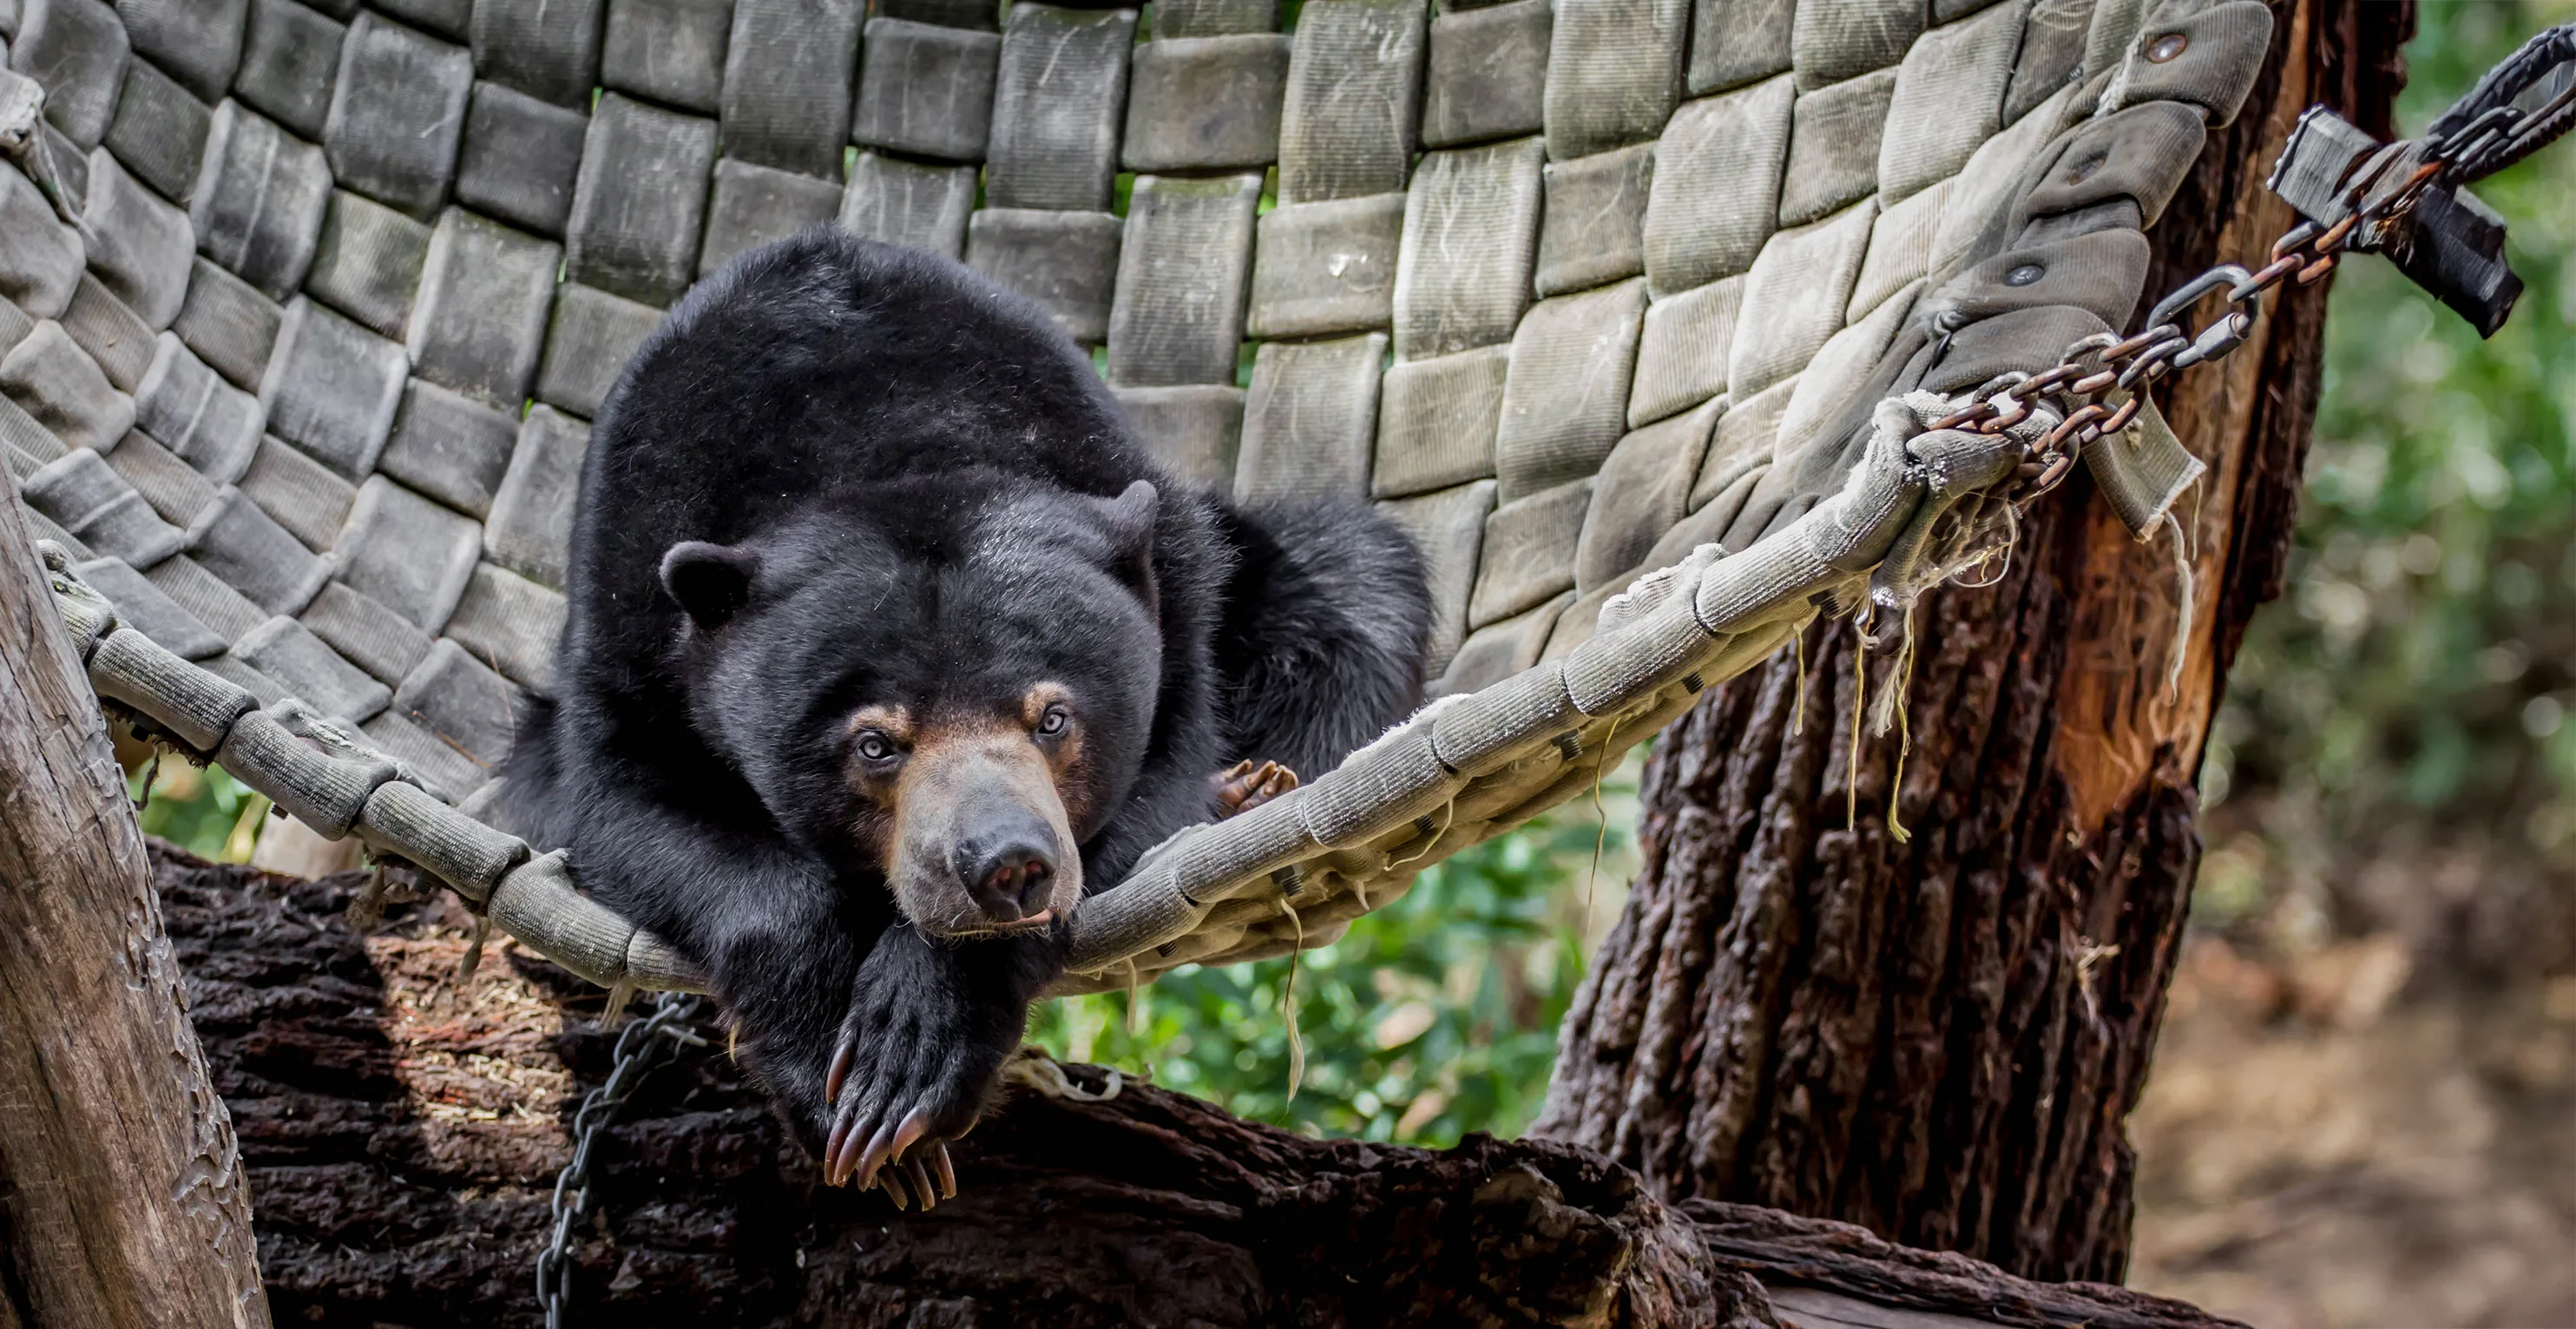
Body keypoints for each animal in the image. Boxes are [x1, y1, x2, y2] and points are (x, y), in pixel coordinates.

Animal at [505, 229, 1432, 1206]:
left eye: (1053, 718)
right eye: (874, 742)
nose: (1007, 865)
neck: (878, 441)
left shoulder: (1176, 599)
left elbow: (1157, 791)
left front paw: (908, 1061)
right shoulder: (628, 609)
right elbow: (625, 807)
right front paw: (834, 1080)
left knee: (1351, 580)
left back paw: (1256, 786)